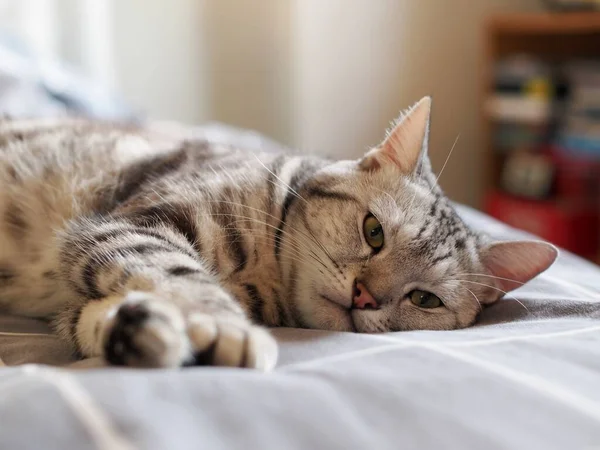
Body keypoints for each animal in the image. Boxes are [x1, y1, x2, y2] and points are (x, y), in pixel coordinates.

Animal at [0, 98, 556, 370]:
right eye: (374, 231)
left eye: (425, 300)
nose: (364, 296)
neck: (263, 273)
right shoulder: (129, 225)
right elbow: (182, 277)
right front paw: (227, 329)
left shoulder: (80, 295)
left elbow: (97, 319)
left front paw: (144, 333)